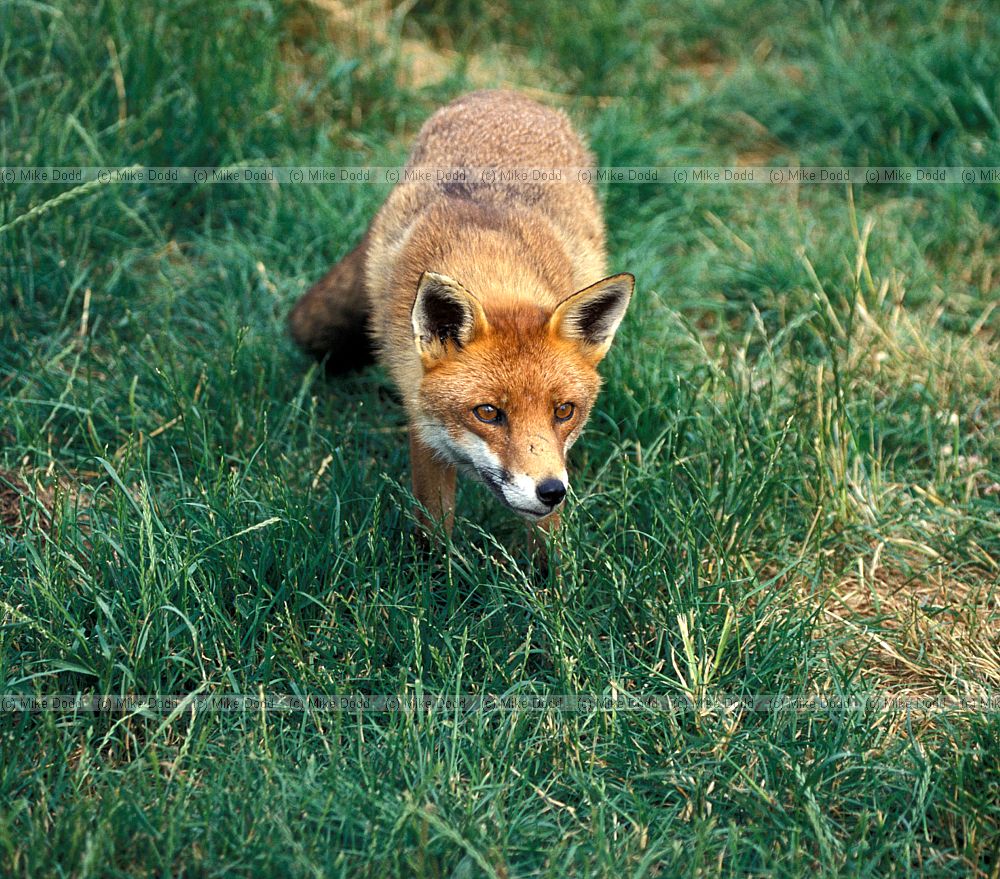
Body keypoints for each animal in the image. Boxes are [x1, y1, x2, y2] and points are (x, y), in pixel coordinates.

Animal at [289, 90, 634, 539]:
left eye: (564, 411)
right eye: (487, 412)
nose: (551, 491)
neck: (491, 262)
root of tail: (503, 94)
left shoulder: (556, 462)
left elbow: (547, 542)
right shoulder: (423, 424)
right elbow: (434, 531)